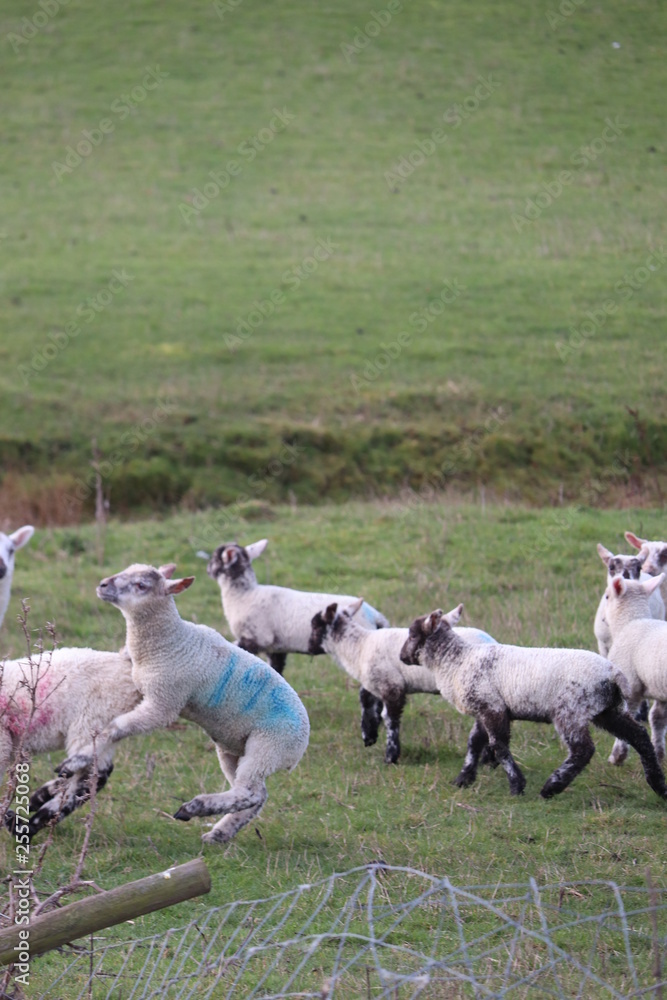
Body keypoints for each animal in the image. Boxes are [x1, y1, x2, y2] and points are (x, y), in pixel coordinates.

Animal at [1, 646, 140, 838]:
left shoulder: (3, 741)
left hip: (91, 720)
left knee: (91, 774)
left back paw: (29, 822)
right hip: (104, 725)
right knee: (95, 772)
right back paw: (41, 798)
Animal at [57, 563, 310, 845]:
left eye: (141, 585)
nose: (102, 585)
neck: (169, 642)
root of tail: (301, 744)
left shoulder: (163, 703)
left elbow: (115, 727)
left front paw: (75, 761)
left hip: (269, 745)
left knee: (249, 793)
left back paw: (194, 808)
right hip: (234, 749)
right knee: (257, 795)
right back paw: (219, 833)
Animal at [309, 599, 496, 763]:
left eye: (315, 625)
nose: (310, 646)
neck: (359, 647)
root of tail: (491, 640)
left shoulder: (391, 685)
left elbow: (390, 719)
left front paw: (390, 756)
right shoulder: (378, 683)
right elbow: (368, 702)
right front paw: (369, 736)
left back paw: (487, 760)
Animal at [399, 604, 667, 800]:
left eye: (412, 634)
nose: (401, 657)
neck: (456, 661)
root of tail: (613, 673)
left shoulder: (492, 707)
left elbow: (498, 746)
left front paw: (517, 785)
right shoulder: (486, 706)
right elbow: (474, 742)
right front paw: (463, 779)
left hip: (571, 709)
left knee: (583, 749)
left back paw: (552, 787)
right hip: (608, 709)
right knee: (639, 737)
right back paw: (658, 785)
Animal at [604, 573, 667, 766]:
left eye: (607, 596)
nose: (602, 619)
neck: (631, 621)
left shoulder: (629, 684)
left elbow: (627, 719)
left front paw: (618, 756)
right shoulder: (660, 689)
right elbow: (657, 718)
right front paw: (659, 754)